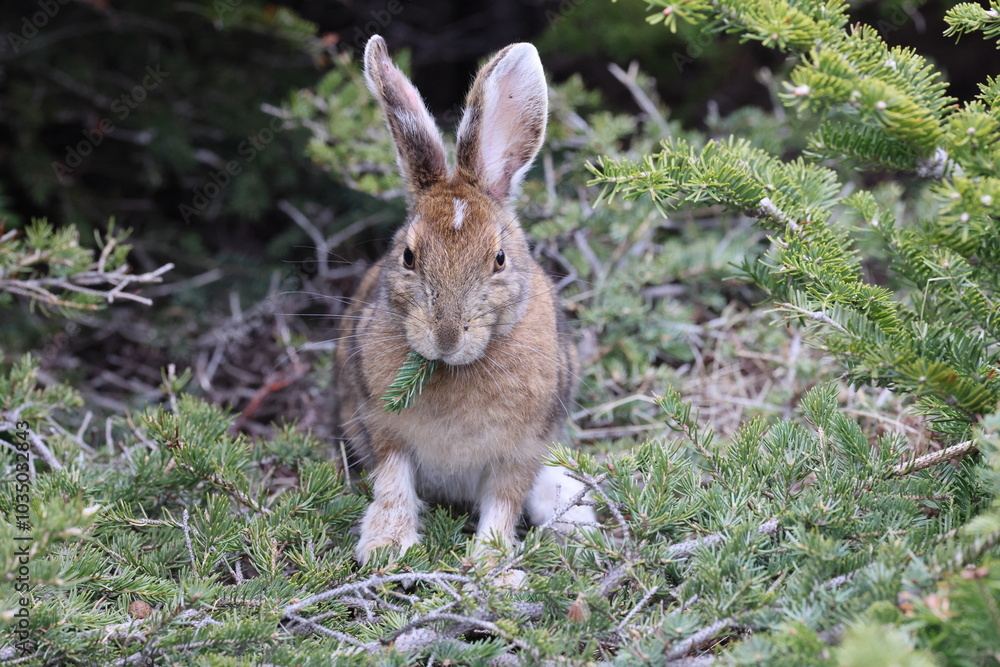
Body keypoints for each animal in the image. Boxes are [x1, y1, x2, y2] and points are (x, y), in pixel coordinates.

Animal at [336, 34, 596, 565]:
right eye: (408, 256)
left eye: (498, 259)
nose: (446, 336)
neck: (456, 369)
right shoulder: (382, 427)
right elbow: (393, 482)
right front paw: (387, 548)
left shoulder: (521, 449)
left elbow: (503, 503)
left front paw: (492, 569)